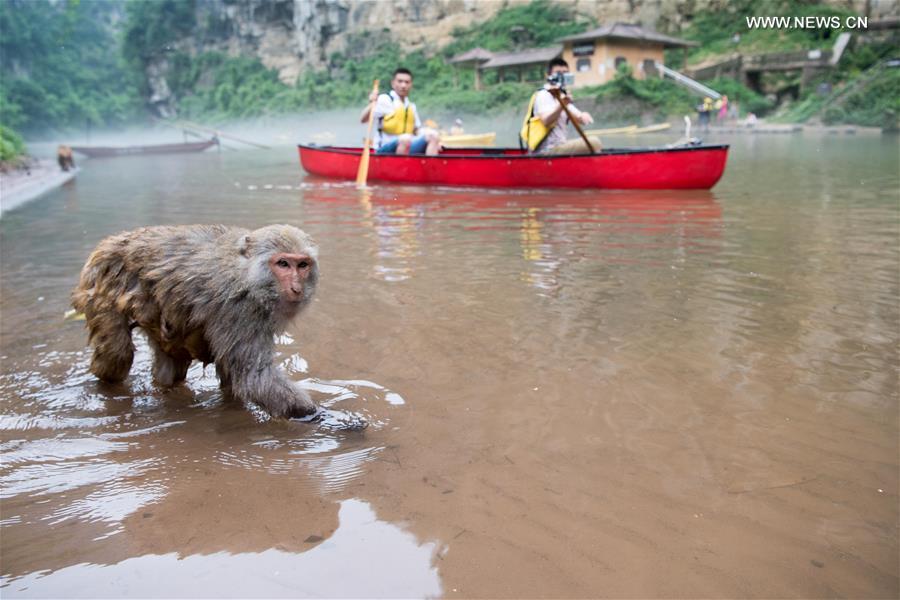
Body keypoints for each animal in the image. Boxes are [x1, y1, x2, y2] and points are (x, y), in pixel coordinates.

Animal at [71, 224, 320, 419]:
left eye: (302, 265)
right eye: (283, 264)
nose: (296, 288)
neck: (247, 275)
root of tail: (109, 243)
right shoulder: (239, 311)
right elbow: (254, 377)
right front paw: (315, 416)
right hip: (100, 286)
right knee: (117, 355)